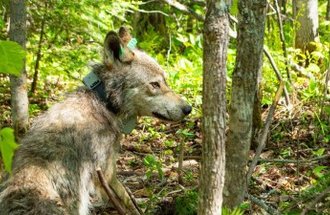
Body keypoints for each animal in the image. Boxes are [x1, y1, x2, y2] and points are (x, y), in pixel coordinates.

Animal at [0, 27, 191, 215]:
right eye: (155, 84)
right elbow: (127, 199)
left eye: (165, 81)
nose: (188, 108)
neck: (103, 102)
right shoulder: (106, 172)